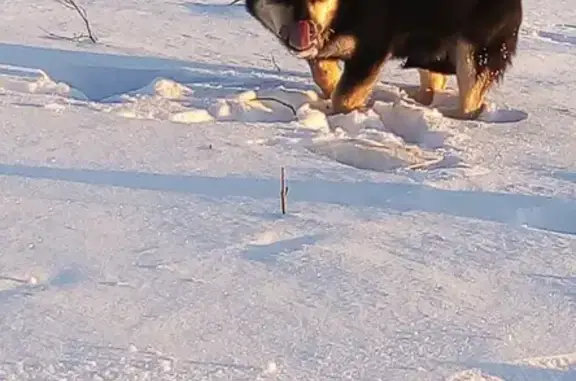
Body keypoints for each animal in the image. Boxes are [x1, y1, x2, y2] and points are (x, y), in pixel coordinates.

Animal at [243, 0, 520, 119]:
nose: (305, 24)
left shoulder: (371, 49)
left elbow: (344, 96)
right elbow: (326, 77)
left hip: (473, 49)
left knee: (470, 96)